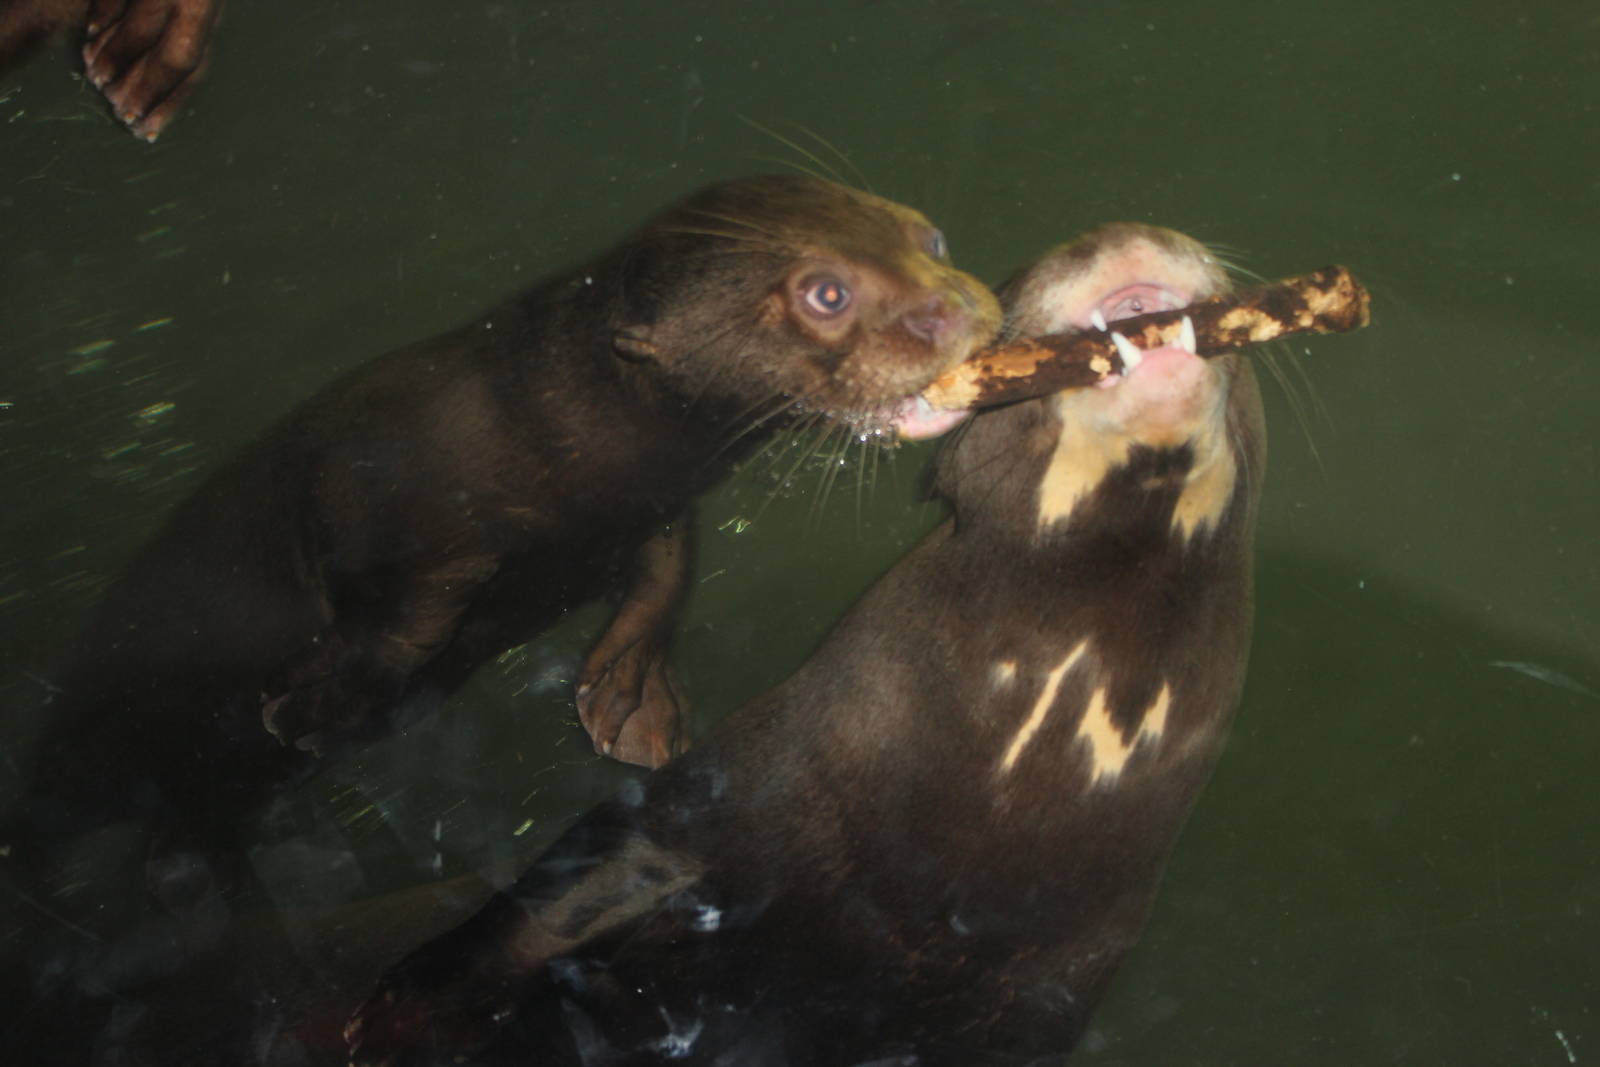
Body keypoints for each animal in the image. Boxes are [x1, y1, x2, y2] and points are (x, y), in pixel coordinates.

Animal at [343, 222, 1266, 1066]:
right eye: (1012, 291)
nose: (1118, 231)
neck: (946, 854)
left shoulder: (1050, 992)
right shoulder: (726, 791)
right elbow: (549, 901)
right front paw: (398, 1014)